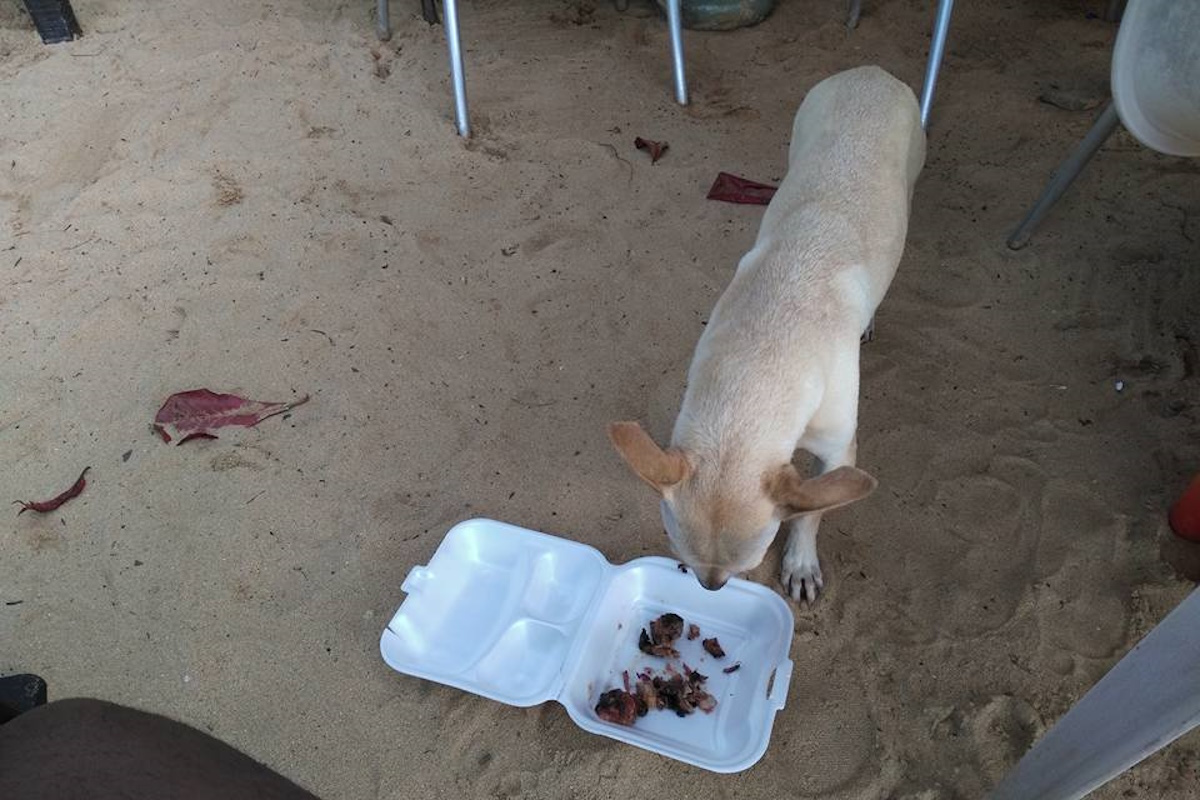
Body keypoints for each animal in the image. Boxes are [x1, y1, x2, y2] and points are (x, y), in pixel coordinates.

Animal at [609, 67, 926, 599]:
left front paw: (800, 561)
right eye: (682, 558)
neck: (762, 356)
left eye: (747, 565)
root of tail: (871, 73)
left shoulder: (838, 450)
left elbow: (811, 512)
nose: (711, 588)